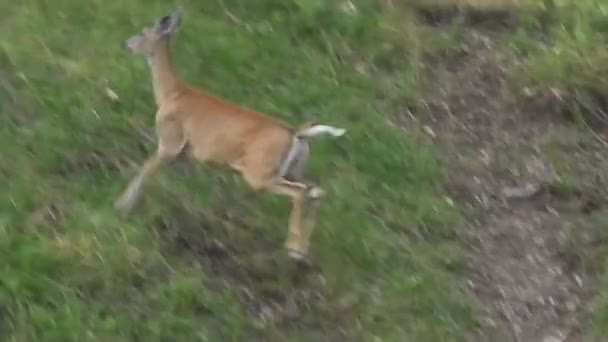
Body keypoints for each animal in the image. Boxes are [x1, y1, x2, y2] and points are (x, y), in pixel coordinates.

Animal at [114, 8, 346, 262]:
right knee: (317, 191)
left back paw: (293, 249)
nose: (126, 44)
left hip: (259, 172)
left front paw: (121, 207)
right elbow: (188, 184)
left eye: (142, 32)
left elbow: (145, 171)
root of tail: (296, 133)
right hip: (294, 169)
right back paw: (302, 250)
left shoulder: (170, 141)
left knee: (300, 193)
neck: (171, 93)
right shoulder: (186, 153)